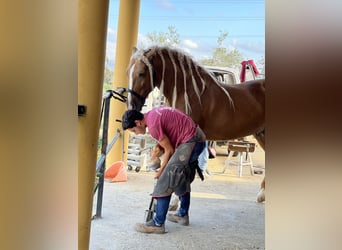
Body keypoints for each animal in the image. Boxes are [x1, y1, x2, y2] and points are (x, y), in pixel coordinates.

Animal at [126, 46, 268, 202]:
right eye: (128, 72)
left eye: (141, 73)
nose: (132, 105)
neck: (188, 93)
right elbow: (159, 150)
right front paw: (153, 163)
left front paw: (174, 202)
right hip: (262, 135)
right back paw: (262, 195)